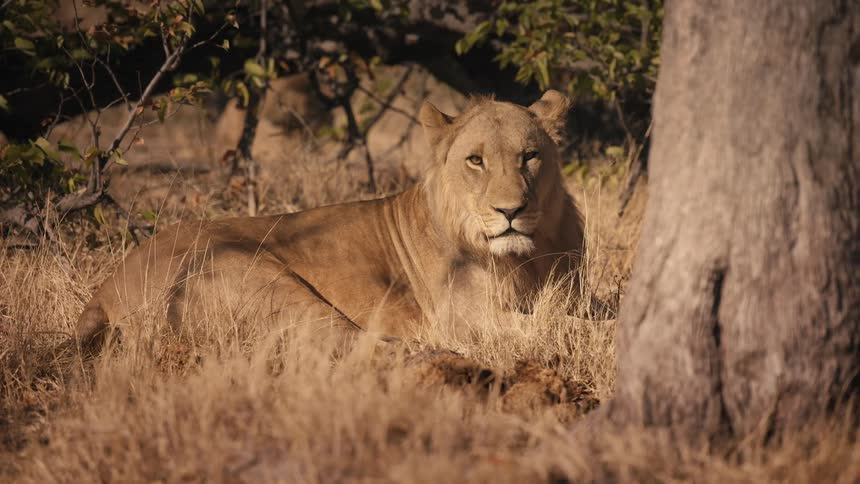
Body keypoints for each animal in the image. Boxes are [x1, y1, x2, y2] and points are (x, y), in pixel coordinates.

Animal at [75, 90, 585, 349]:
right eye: (475, 160)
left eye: (530, 156)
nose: (510, 211)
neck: (527, 258)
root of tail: (105, 287)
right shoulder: (462, 316)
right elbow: (555, 325)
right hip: (264, 280)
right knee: (349, 344)